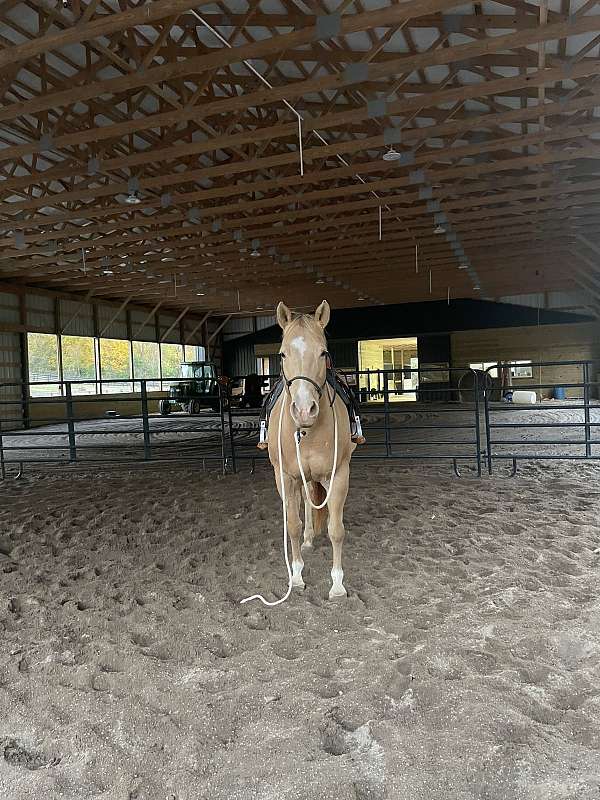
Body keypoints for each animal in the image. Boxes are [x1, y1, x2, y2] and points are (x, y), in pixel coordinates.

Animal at [268, 302, 356, 600]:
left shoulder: (339, 475)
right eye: (283, 353)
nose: (305, 410)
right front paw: (296, 576)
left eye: (323, 352)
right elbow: (293, 526)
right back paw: (307, 540)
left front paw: (338, 585)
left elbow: (336, 530)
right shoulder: (285, 477)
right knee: (306, 503)